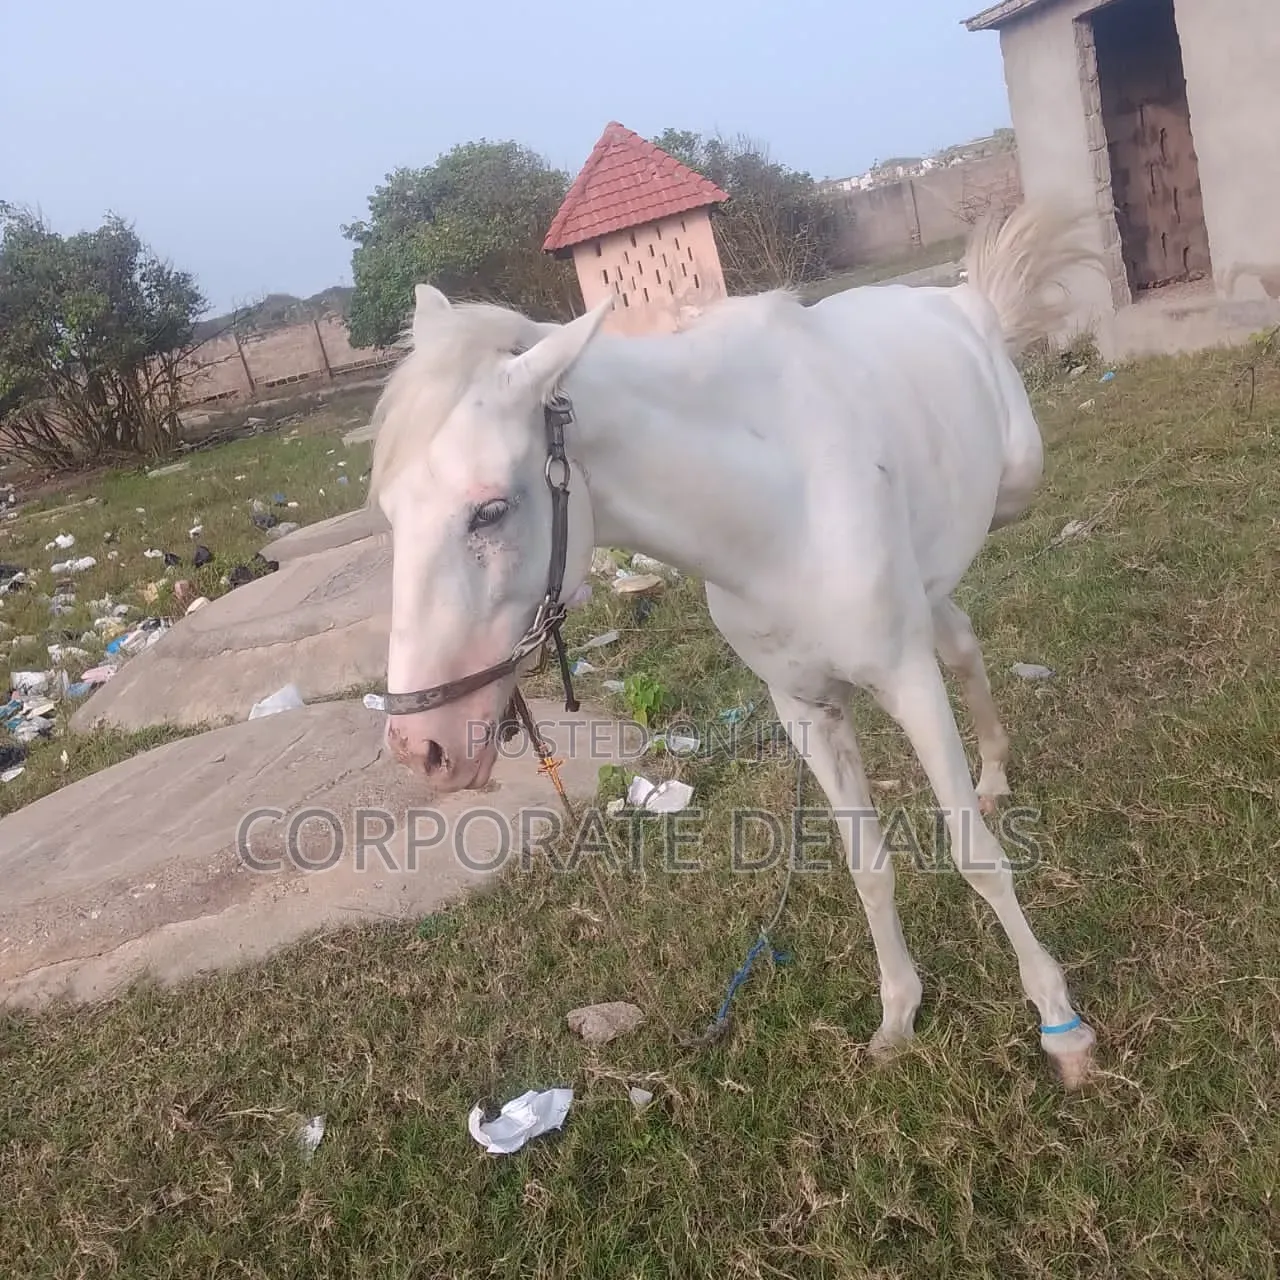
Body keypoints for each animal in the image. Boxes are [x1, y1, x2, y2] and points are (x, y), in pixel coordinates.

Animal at [362, 201, 1105, 1087]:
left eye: (491, 510)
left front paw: (1059, 1023)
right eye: (390, 512)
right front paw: (898, 1015)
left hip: (1015, 490)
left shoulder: (906, 681)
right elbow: (868, 866)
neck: (777, 504)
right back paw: (994, 769)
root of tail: (961, 301)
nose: (422, 748)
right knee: (957, 633)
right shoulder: (807, 710)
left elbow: (975, 856)